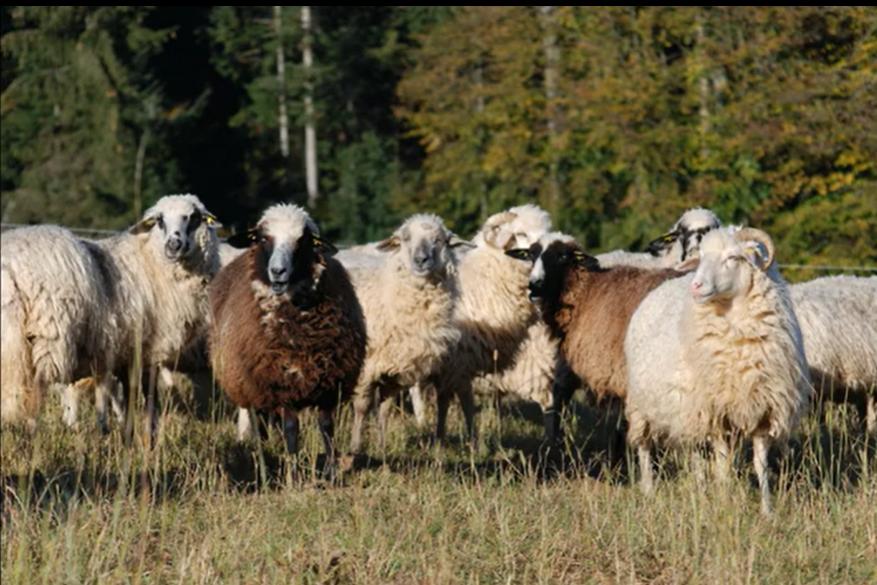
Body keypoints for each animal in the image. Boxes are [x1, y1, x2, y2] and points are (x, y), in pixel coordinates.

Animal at [209, 204, 366, 471]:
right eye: (262, 238)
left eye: (302, 241)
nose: (277, 271)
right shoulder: (280, 383)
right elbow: (292, 428)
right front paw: (293, 470)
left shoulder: (330, 383)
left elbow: (327, 428)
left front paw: (331, 471)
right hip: (251, 384)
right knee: (260, 421)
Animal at [337, 214, 468, 453]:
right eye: (405, 239)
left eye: (439, 240)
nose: (421, 260)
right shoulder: (366, 366)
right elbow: (362, 407)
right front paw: (355, 448)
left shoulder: (395, 368)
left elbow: (385, 409)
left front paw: (381, 448)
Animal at [624, 226, 811, 514]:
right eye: (700, 257)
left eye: (733, 257)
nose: (696, 286)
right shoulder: (716, 414)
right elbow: (722, 466)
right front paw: (724, 504)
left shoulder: (762, 410)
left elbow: (760, 465)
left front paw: (767, 510)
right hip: (643, 404)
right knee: (644, 446)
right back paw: (648, 489)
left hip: (687, 410)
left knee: (694, 453)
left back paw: (700, 491)